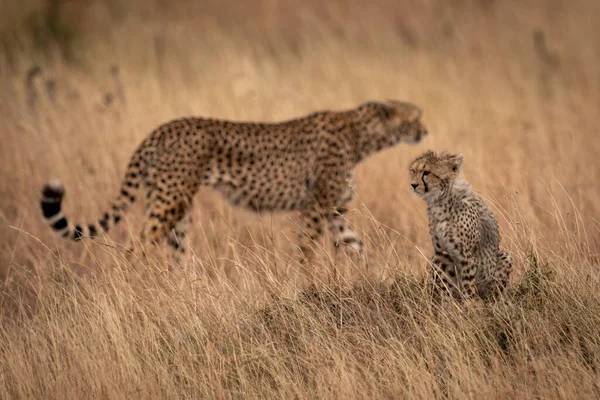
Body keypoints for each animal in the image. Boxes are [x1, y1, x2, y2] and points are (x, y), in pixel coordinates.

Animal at [41, 101, 426, 260]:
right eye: (415, 116)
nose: (425, 130)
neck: (361, 135)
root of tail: (162, 128)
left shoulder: (335, 213)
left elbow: (358, 248)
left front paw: (374, 277)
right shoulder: (316, 209)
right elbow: (306, 252)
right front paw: (307, 285)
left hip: (176, 207)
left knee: (176, 252)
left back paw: (184, 291)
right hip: (169, 203)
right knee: (136, 248)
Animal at [410, 151, 512, 300]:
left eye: (426, 172)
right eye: (413, 171)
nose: (413, 185)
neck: (440, 200)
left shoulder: (467, 256)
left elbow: (468, 285)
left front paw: (470, 304)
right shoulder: (441, 252)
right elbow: (445, 285)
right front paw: (447, 304)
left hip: (503, 260)